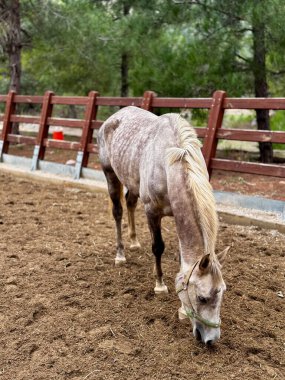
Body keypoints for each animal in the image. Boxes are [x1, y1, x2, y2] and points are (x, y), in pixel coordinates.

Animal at [97, 106, 229, 344]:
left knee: (130, 203)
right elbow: (158, 247)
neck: (169, 163)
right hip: (111, 175)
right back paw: (120, 254)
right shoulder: (152, 211)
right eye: (202, 298)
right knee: (118, 212)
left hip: (131, 182)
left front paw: (182, 310)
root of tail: (112, 119)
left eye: (223, 292)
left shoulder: (177, 216)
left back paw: (134, 242)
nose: (211, 339)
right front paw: (159, 285)